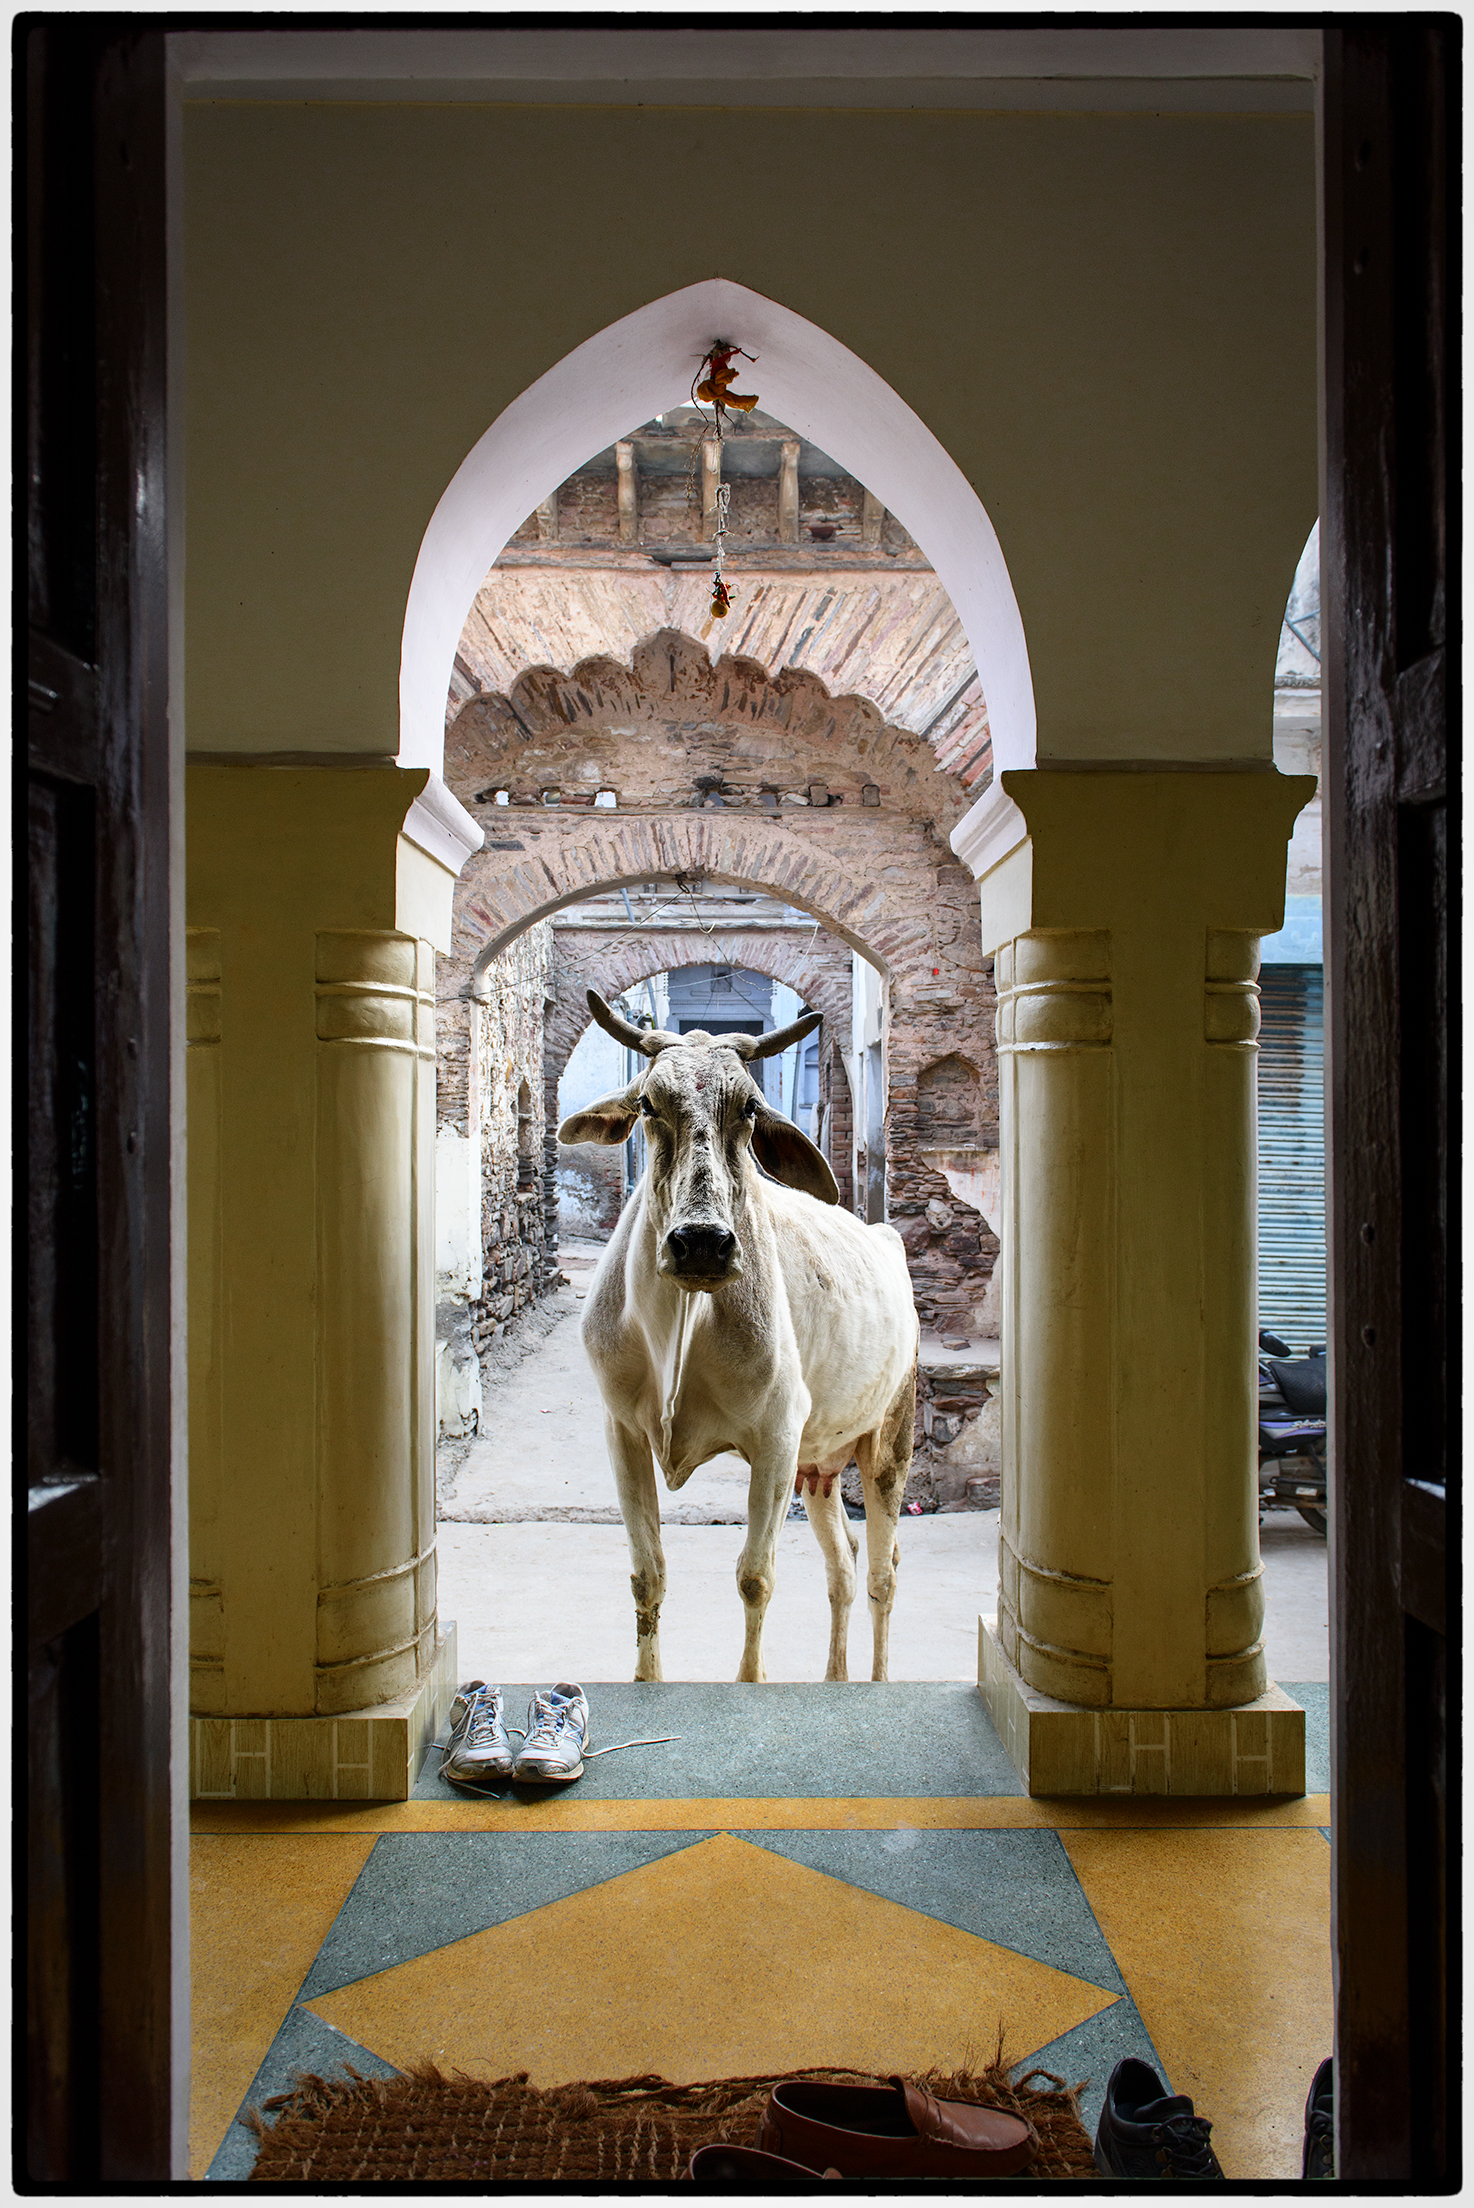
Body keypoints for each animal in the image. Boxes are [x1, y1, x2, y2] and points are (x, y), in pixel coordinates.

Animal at [556, 993, 913, 1678]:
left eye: (748, 1107)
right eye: (647, 1104)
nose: (702, 1243)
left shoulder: (776, 1437)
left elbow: (756, 1578)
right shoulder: (623, 1432)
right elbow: (647, 1575)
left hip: (889, 1441)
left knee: (883, 1575)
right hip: (818, 1468)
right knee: (844, 1565)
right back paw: (836, 1679)